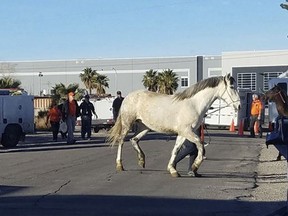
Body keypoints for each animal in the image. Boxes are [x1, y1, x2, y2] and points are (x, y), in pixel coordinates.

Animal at [107, 74, 240, 177]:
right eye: (232, 87)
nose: (239, 106)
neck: (194, 104)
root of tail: (128, 97)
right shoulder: (187, 131)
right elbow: (200, 145)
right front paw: (195, 166)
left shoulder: (182, 133)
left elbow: (176, 149)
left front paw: (173, 169)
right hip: (127, 124)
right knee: (121, 141)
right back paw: (120, 165)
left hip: (144, 127)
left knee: (134, 139)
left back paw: (141, 160)